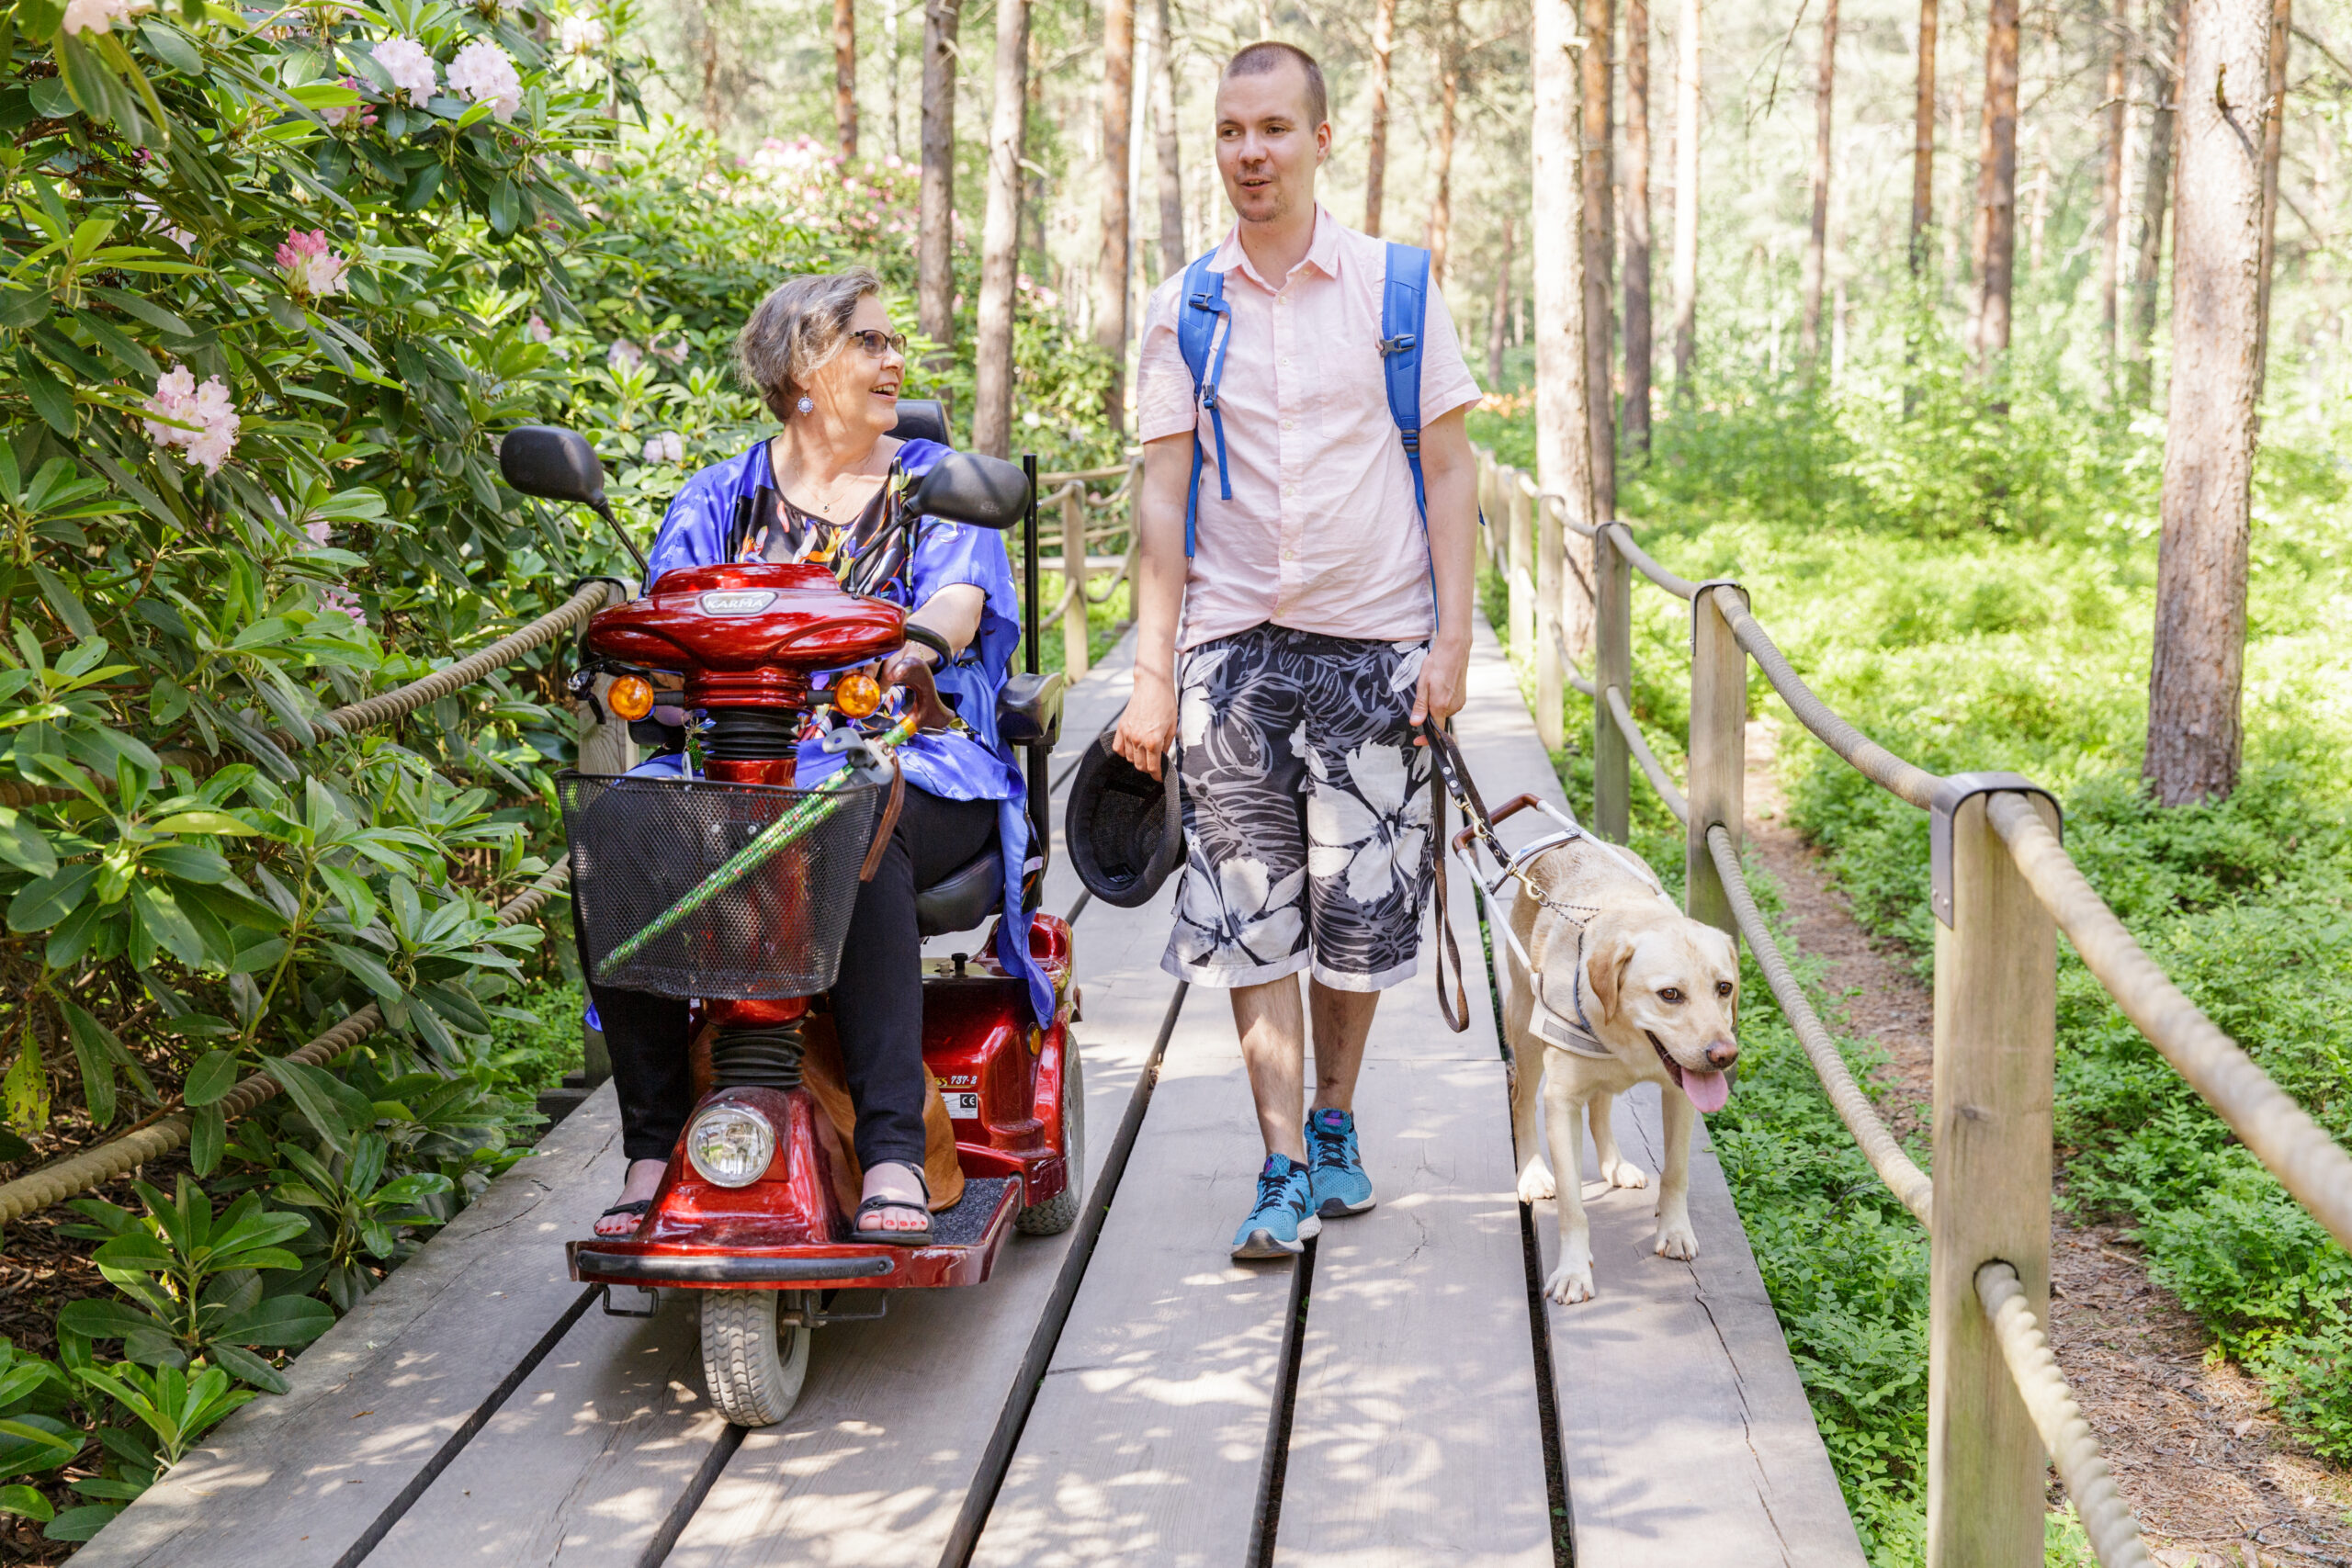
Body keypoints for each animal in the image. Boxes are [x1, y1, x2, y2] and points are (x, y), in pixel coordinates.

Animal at [1486, 804, 1749, 1306]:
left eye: (1724, 988)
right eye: (1670, 994)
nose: (1724, 1055)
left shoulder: (1679, 1095)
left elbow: (1676, 1172)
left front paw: (1675, 1231)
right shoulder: (1561, 1103)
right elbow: (1573, 1206)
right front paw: (1573, 1271)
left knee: (1602, 1108)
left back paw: (1614, 1164)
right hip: (1525, 1034)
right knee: (1520, 1101)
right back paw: (1532, 1173)